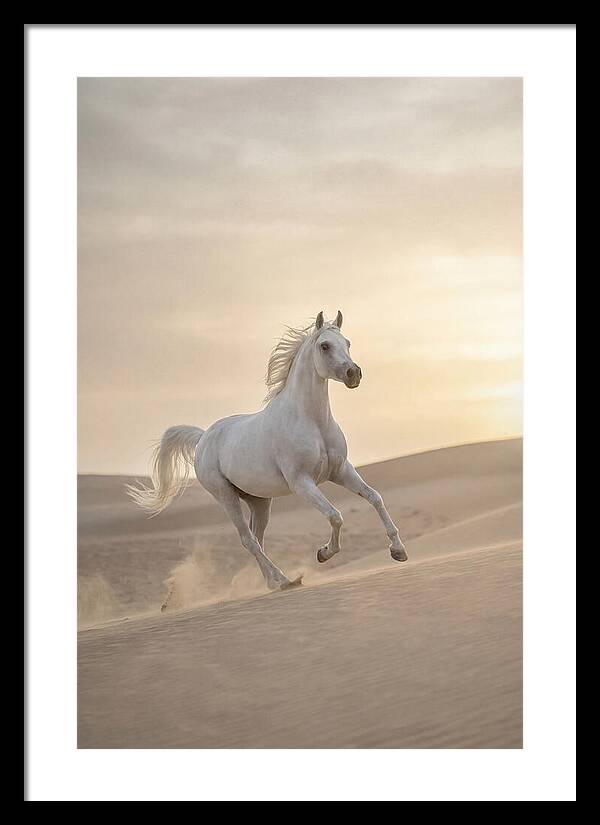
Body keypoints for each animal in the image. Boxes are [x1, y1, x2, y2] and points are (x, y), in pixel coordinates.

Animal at [127, 310, 408, 592]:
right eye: (325, 346)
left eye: (347, 343)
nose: (353, 374)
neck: (312, 421)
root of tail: (203, 437)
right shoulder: (302, 482)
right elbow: (335, 515)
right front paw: (324, 553)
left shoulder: (340, 471)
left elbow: (374, 497)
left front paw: (398, 550)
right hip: (225, 496)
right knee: (248, 540)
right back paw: (284, 580)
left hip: (259, 501)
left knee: (257, 538)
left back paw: (273, 582)